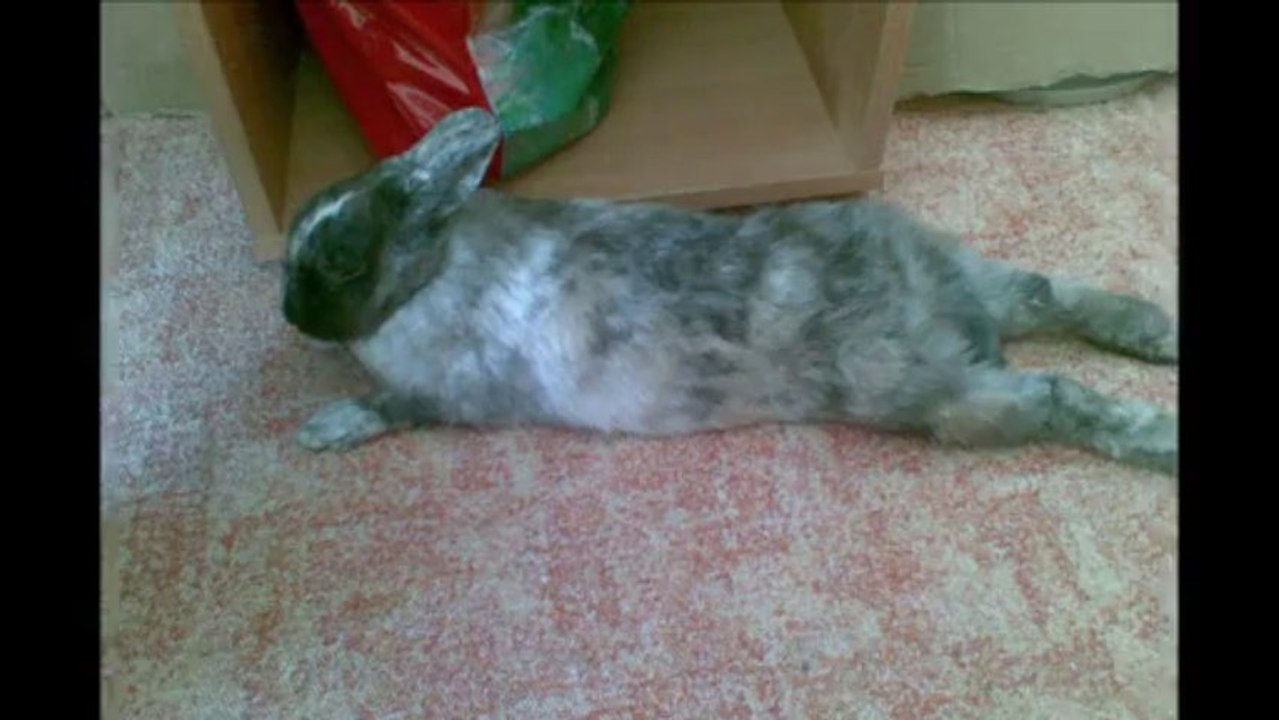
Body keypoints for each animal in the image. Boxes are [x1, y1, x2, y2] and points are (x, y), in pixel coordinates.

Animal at [282, 107, 1178, 475]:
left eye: (345, 261)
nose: (288, 312)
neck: (430, 272)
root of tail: (945, 307)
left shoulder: (453, 396)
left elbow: (393, 407)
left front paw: (323, 429)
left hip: (933, 395)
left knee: (1056, 392)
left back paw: (1157, 440)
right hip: (970, 282)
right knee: (1046, 292)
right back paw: (1157, 331)